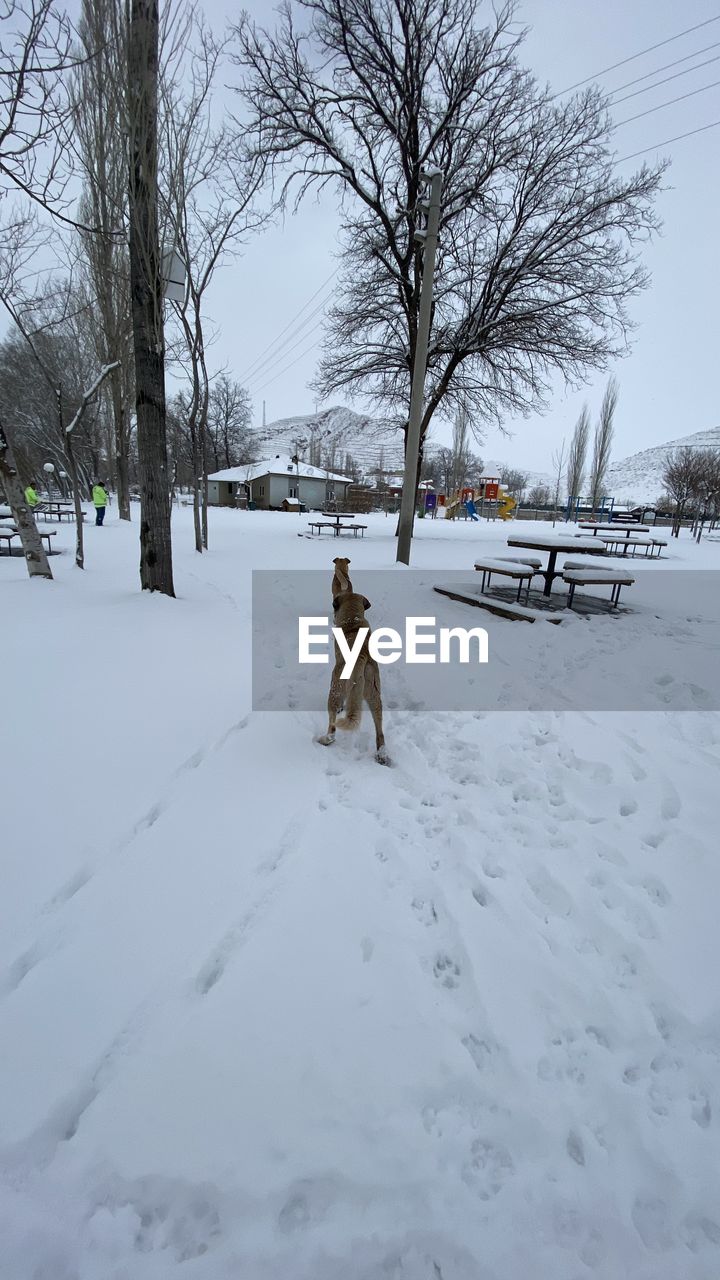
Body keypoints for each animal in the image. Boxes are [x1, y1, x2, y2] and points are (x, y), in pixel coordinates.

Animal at [316, 591, 389, 762]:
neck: (353, 617)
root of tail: (361, 654)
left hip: (335, 688)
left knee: (332, 727)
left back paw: (325, 739)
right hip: (374, 693)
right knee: (380, 730)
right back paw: (382, 755)